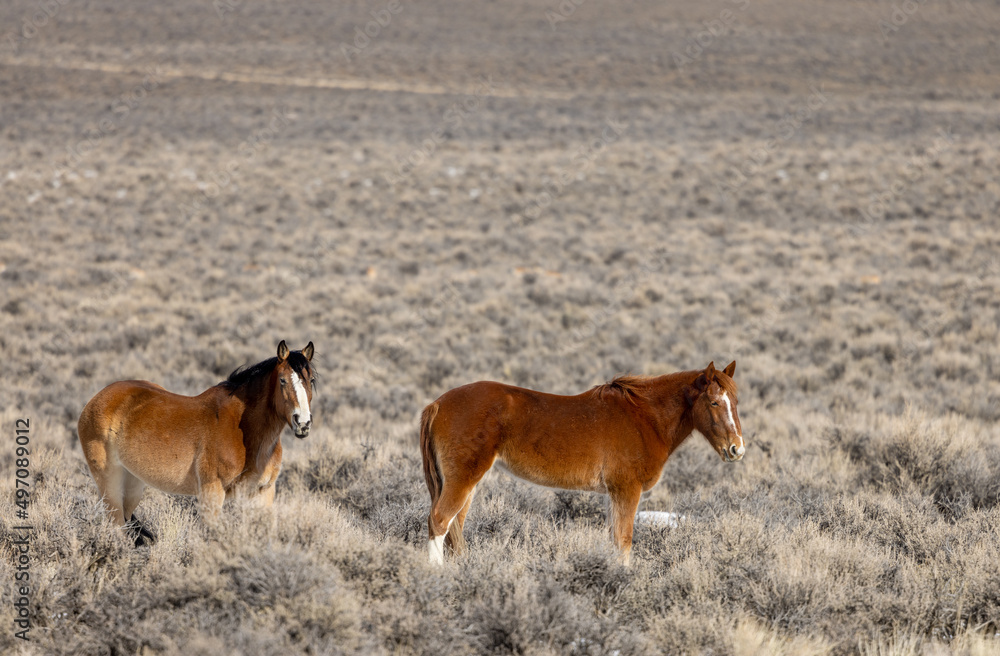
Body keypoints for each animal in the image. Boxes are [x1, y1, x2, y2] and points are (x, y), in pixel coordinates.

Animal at [78, 341, 315, 545]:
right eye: (283, 380)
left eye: (311, 380)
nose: (303, 423)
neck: (245, 432)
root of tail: (95, 401)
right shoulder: (212, 491)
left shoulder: (263, 492)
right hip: (109, 482)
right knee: (116, 526)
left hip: (133, 483)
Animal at [420, 361, 744, 565]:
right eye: (714, 402)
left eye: (736, 402)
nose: (736, 449)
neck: (643, 417)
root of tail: (437, 404)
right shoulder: (627, 490)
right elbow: (624, 541)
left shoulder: (614, 494)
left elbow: (615, 540)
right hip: (462, 480)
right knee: (440, 521)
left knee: (455, 528)